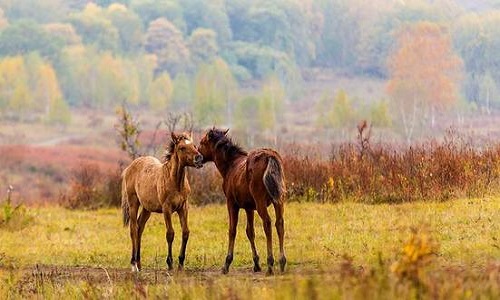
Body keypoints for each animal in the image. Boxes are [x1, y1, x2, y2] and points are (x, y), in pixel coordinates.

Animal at [121, 131, 203, 272]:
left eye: (194, 145)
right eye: (182, 147)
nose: (199, 159)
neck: (175, 182)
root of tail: (129, 167)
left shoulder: (183, 207)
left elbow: (185, 232)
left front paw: (181, 264)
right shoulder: (167, 208)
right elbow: (170, 233)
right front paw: (170, 264)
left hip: (147, 208)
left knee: (140, 228)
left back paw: (139, 264)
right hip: (133, 203)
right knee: (133, 229)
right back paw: (134, 265)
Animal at [198, 127, 288, 274]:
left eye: (202, 142)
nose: (197, 158)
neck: (230, 166)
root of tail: (270, 157)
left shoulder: (231, 203)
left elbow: (232, 230)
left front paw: (226, 264)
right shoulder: (248, 207)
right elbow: (250, 231)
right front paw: (256, 264)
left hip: (260, 201)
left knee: (267, 223)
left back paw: (270, 264)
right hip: (278, 200)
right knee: (279, 223)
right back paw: (282, 262)